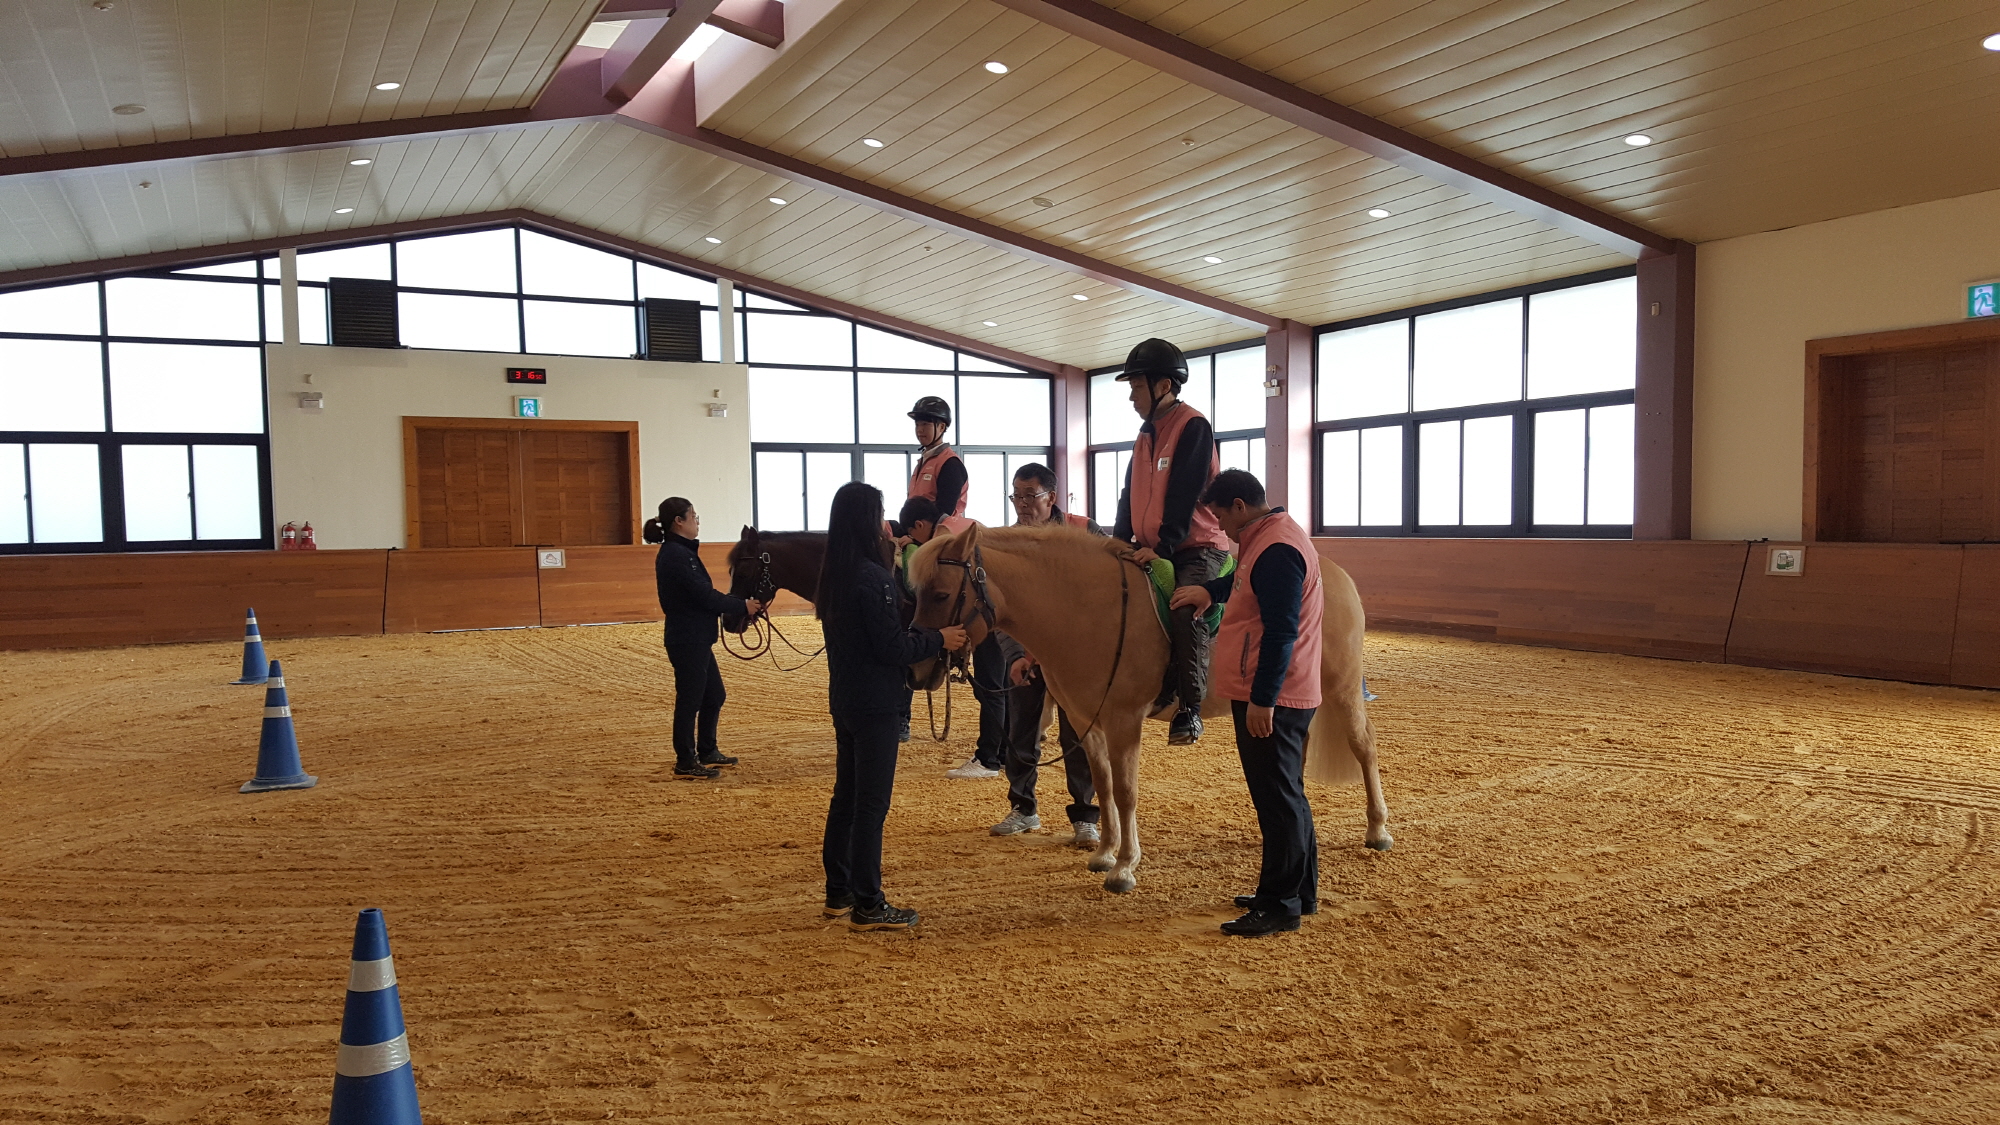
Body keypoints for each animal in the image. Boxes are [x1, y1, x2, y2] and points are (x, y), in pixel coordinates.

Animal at [906, 522, 1390, 895]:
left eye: (941, 593)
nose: (917, 670)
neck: (1086, 609)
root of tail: (1332, 574)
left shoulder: (1124, 721)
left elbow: (1125, 791)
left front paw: (1124, 867)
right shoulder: (1086, 720)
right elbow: (1102, 785)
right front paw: (1104, 854)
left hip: (1342, 688)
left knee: (1364, 747)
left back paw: (1378, 830)